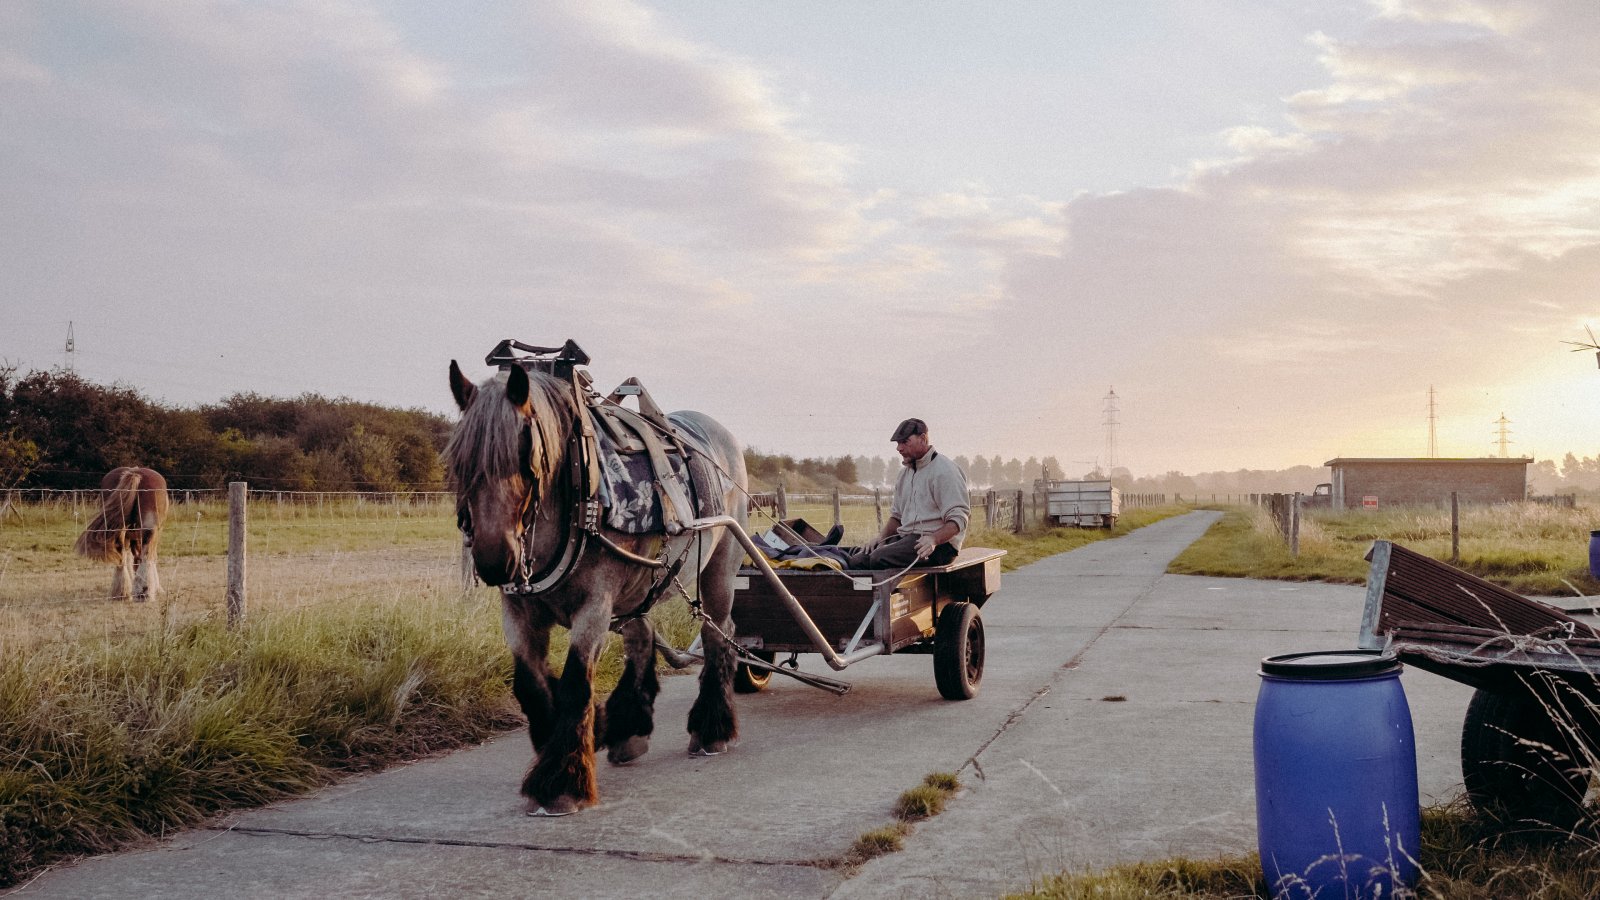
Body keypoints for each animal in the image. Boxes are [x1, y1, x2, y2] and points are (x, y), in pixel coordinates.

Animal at [72, 461, 170, 602]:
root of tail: (135, 473)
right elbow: (151, 558)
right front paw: (158, 589)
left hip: (119, 529)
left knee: (121, 556)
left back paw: (121, 593)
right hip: (149, 530)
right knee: (146, 556)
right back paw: (144, 593)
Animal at [448, 355, 752, 813]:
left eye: (524, 453)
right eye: (460, 460)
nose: (493, 560)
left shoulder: (594, 605)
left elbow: (575, 684)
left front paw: (561, 783)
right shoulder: (518, 610)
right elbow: (531, 685)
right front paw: (565, 745)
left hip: (719, 566)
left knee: (720, 635)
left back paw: (711, 728)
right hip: (639, 584)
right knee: (642, 636)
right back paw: (630, 726)